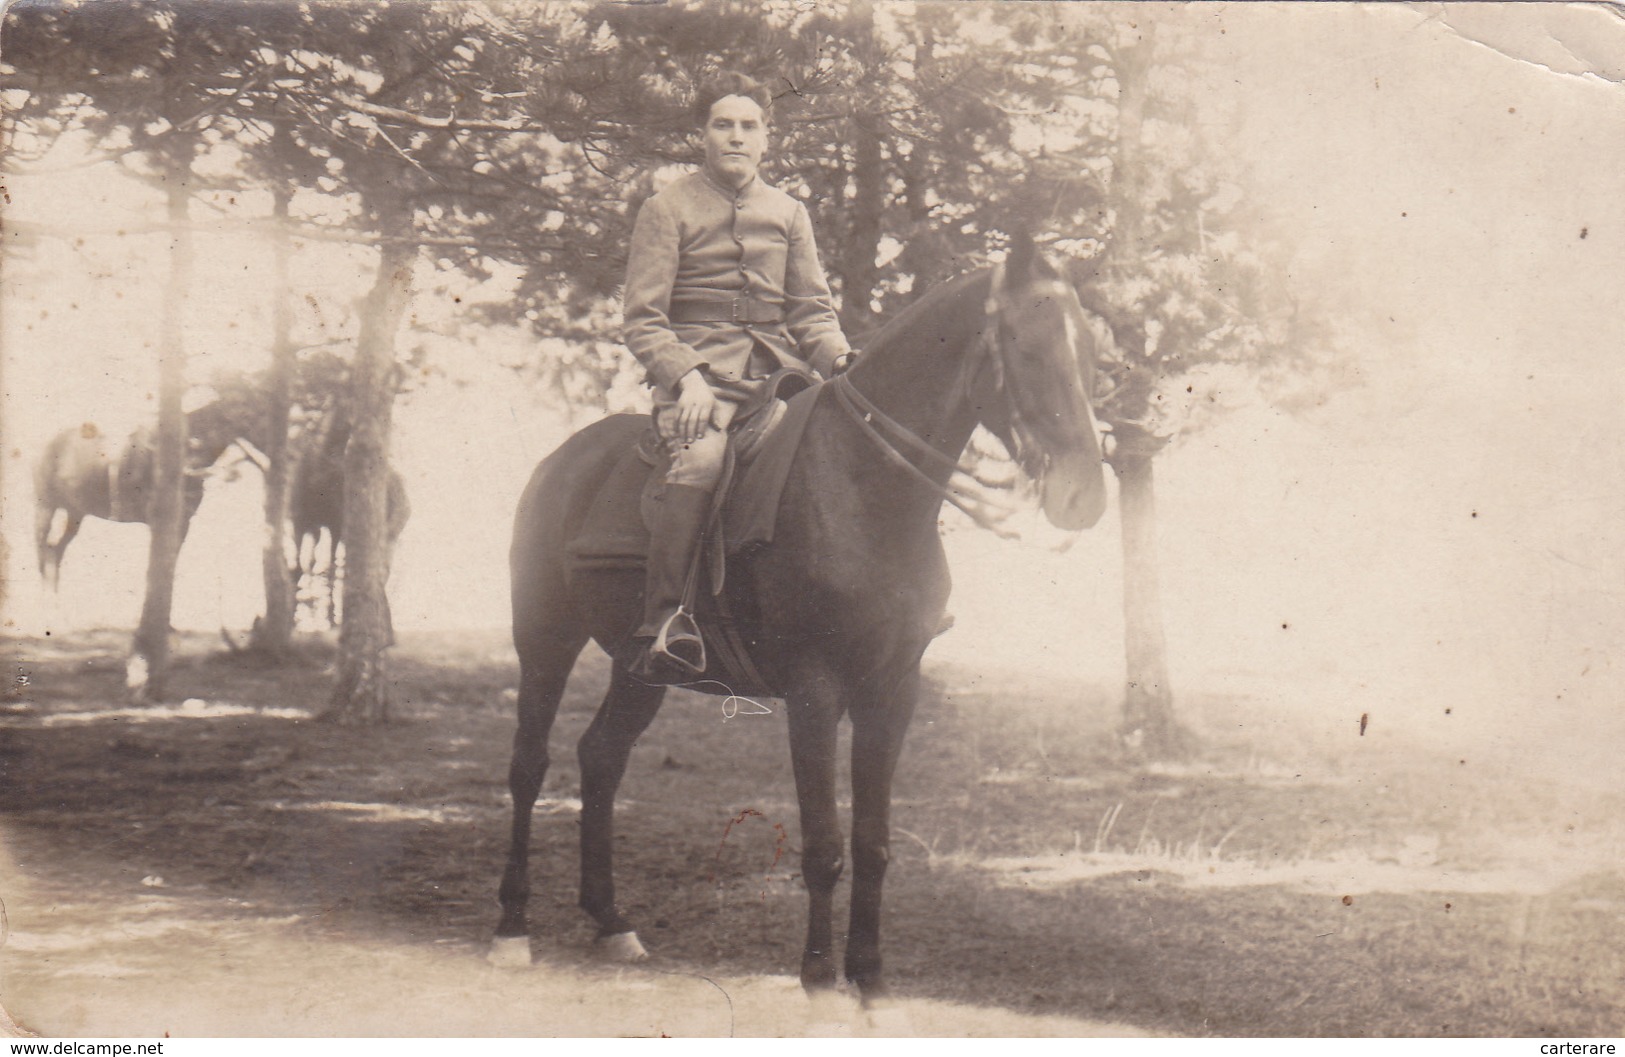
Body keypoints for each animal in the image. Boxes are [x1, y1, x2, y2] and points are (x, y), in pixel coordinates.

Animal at [33, 393, 263, 591]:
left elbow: (170, 565)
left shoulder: (182, 523)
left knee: (55, 553)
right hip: (45, 507)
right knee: (42, 551)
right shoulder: (158, 521)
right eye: (250, 414)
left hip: (75, 513)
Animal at [490, 239, 1105, 1001]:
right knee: (529, 765)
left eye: (1092, 351)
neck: (863, 486)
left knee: (601, 756)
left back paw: (612, 922)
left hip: (639, 666)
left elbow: (873, 843)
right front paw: (818, 978)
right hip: (544, 635)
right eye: (1024, 343)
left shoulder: (891, 694)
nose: (1084, 496)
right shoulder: (815, 692)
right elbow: (824, 845)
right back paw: (511, 927)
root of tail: (562, 460)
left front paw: (870, 980)